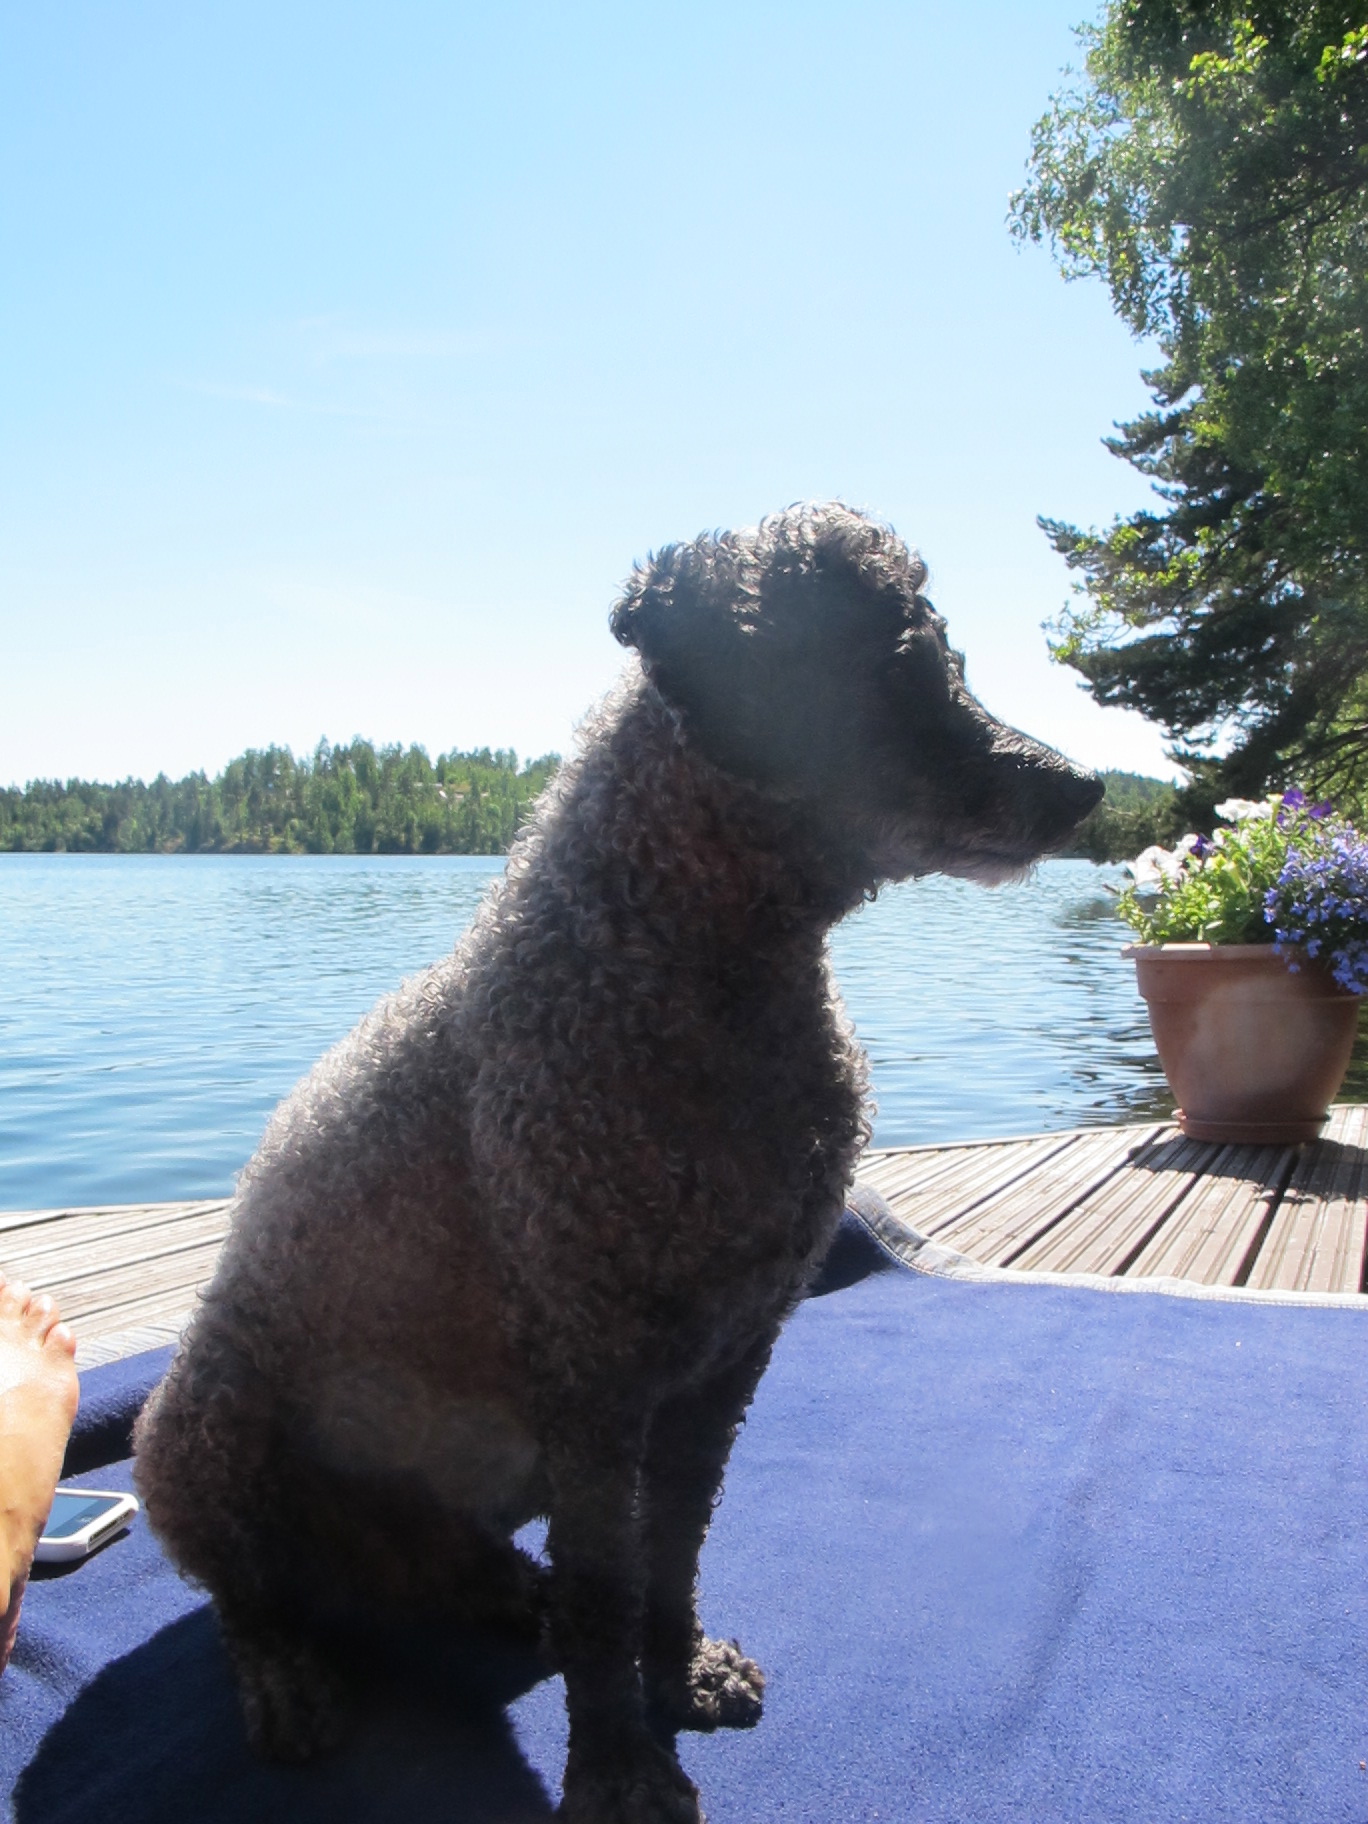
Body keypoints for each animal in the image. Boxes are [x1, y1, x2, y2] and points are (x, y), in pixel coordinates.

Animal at [134, 502, 1102, 1823]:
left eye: (945, 659)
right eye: (904, 667)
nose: (1087, 788)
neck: (681, 962)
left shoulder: (729, 1356)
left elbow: (671, 1550)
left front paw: (677, 1670)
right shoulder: (591, 1367)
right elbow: (605, 1589)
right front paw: (617, 1768)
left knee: (446, 1568)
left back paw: (499, 1593)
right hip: (203, 1429)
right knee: (248, 1596)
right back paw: (290, 1674)